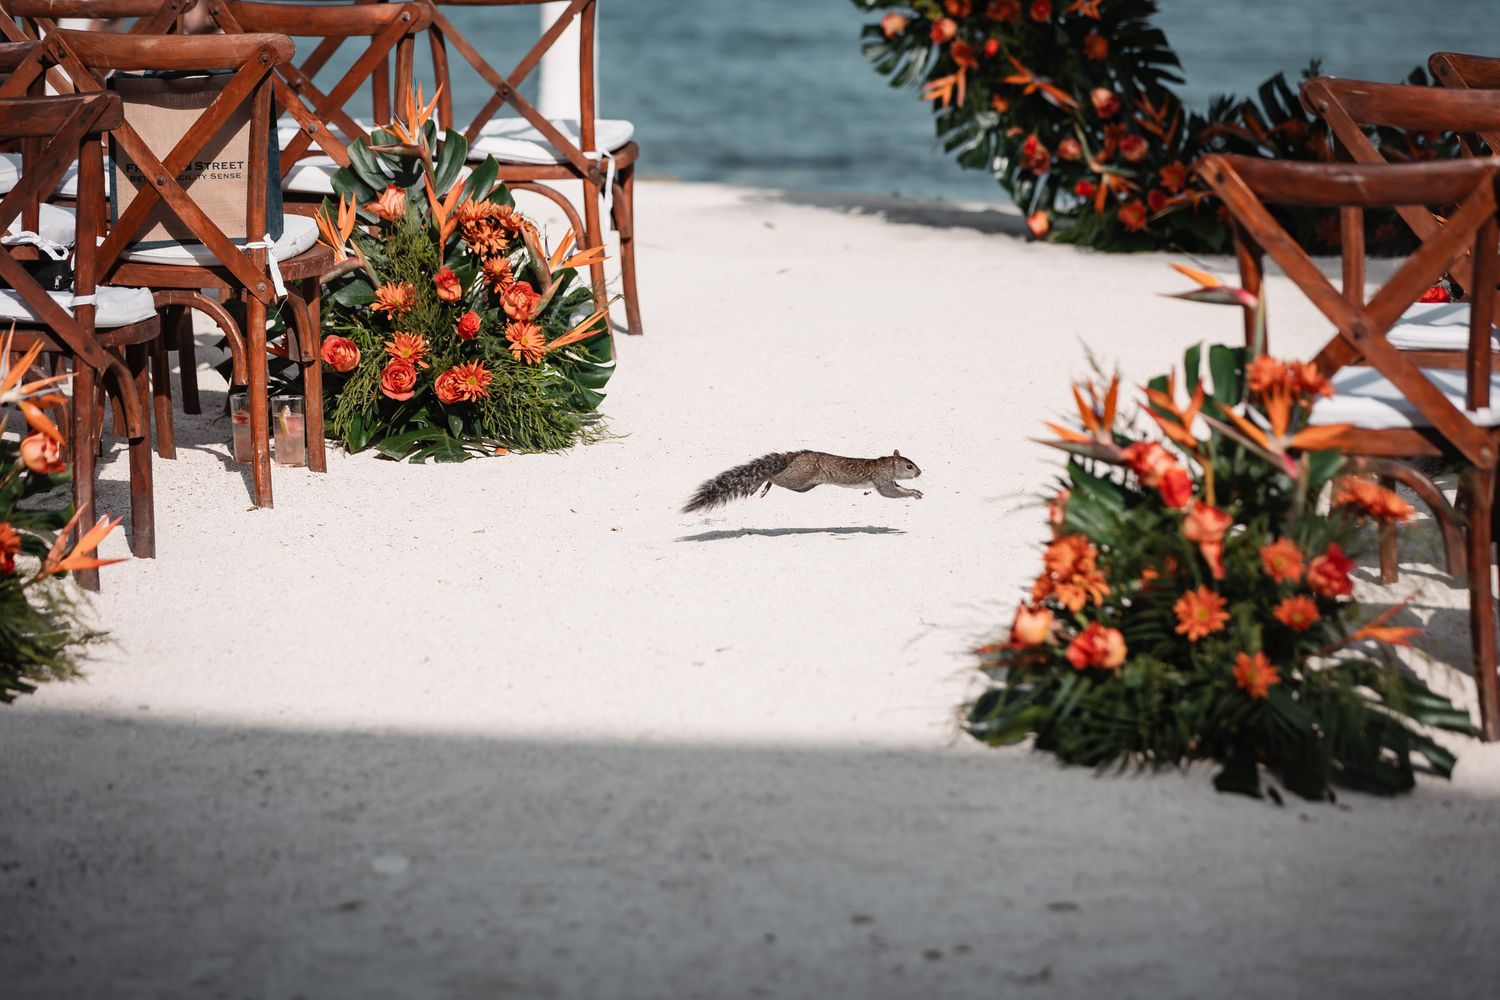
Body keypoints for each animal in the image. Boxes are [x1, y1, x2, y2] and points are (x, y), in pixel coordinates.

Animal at [682, 450, 923, 513]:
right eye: (909, 466)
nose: (920, 472)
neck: (887, 465)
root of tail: (795, 456)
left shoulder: (889, 481)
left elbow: (898, 488)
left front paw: (916, 492)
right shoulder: (881, 481)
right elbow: (891, 493)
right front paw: (913, 493)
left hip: (803, 485)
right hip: (798, 477)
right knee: (773, 476)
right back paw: (760, 484)